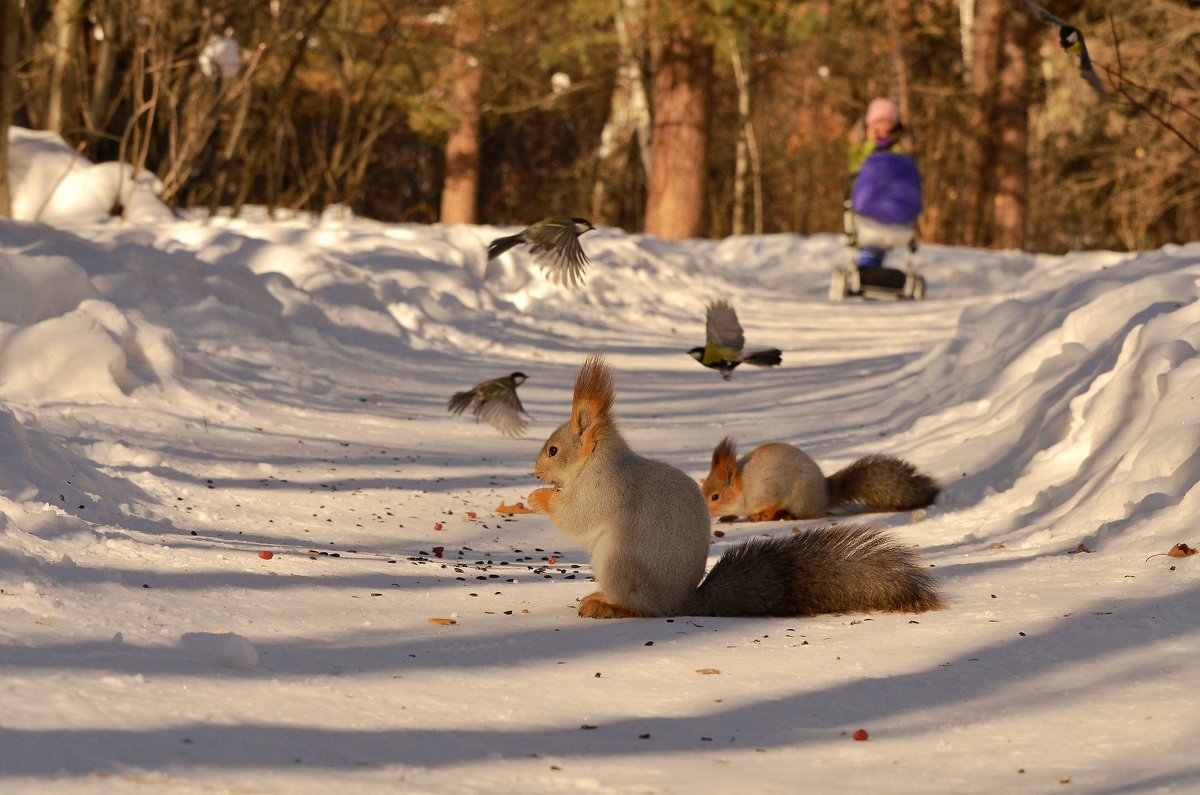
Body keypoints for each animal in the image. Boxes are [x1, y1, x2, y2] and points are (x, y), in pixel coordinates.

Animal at [700, 437, 940, 523]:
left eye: (715, 496)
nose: (705, 512)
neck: (744, 489)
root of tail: (825, 492)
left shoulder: (772, 488)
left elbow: (775, 501)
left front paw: (764, 514)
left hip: (801, 498)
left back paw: (786, 515)